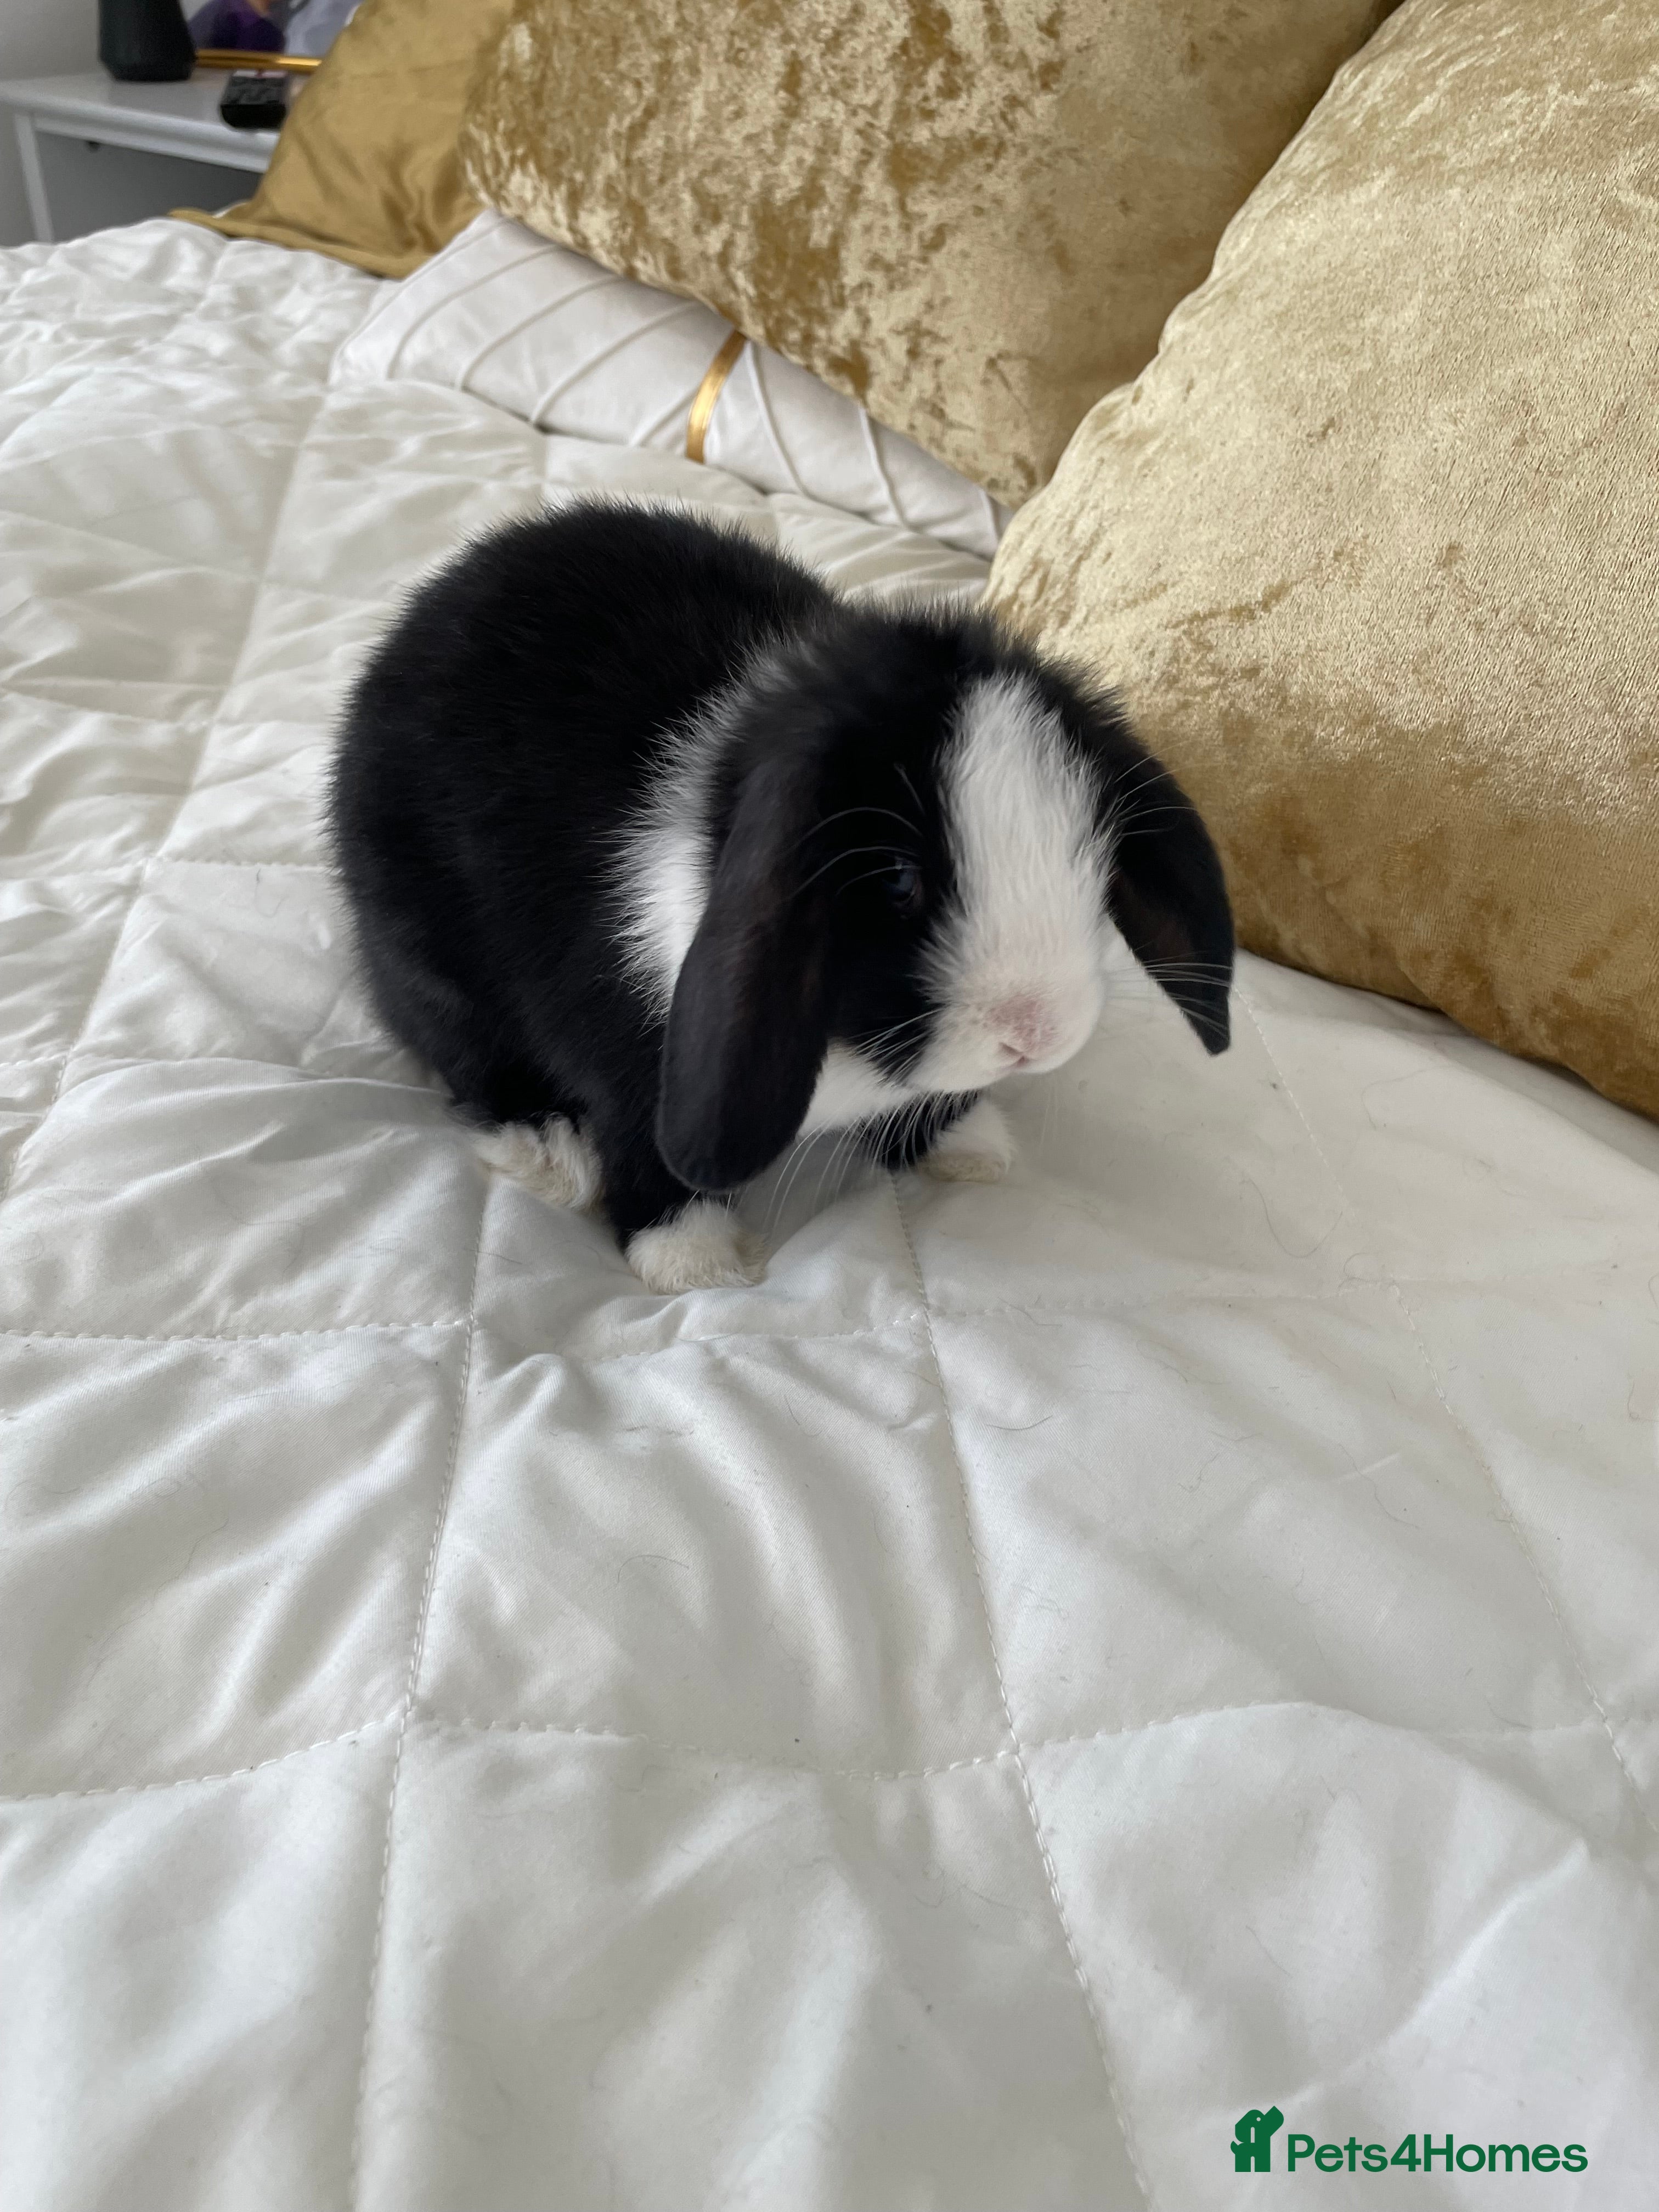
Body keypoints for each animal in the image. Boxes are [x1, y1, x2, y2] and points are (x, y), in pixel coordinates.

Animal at [329, 499, 1234, 1293]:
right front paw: (693, 1260)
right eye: (897, 879)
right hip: (426, 957)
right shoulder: (626, 1053)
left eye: (1093, 845)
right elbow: (643, 1146)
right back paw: (547, 1147)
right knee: (462, 1050)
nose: (1036, 1034)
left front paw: (970, 1145)